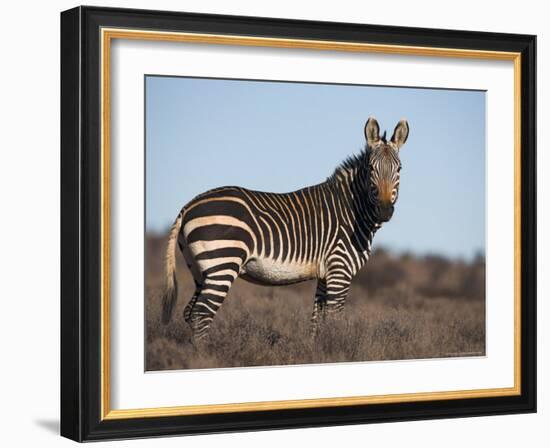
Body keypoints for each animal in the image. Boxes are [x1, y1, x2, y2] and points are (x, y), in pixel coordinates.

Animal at [160, 117, 410, 342]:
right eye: (370, 169)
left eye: (399, 169)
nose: (384, 211)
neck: (352, 211)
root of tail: (189, 205)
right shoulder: (340, 270)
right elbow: (334, 320)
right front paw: (338, 348)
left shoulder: (325, 274)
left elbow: (317, 321)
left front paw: (316, 351)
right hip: (223, 262)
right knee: (201, 314)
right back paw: (205, 354)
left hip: (201, 270)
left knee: (190, 313)